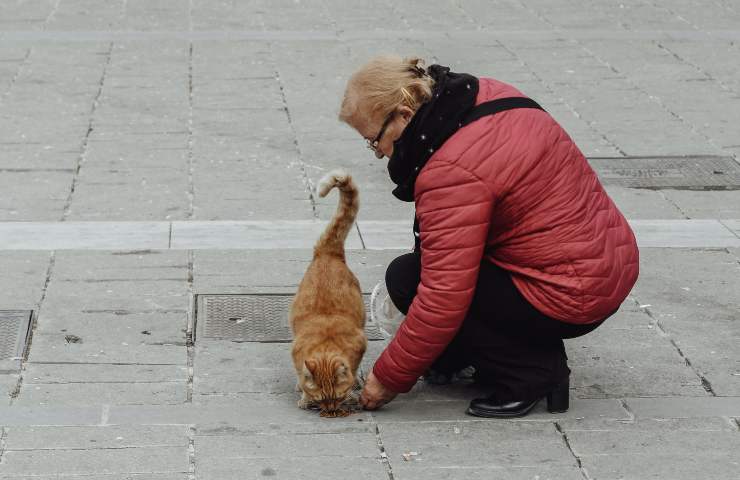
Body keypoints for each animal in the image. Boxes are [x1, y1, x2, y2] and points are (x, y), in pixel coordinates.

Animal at [290, 170, 368, 416]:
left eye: (338, 397)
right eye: (321, 399)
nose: (331, 410)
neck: (326, 342)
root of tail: (328, 252)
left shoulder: (360, 343)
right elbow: (301, 374)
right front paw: (304, 394)